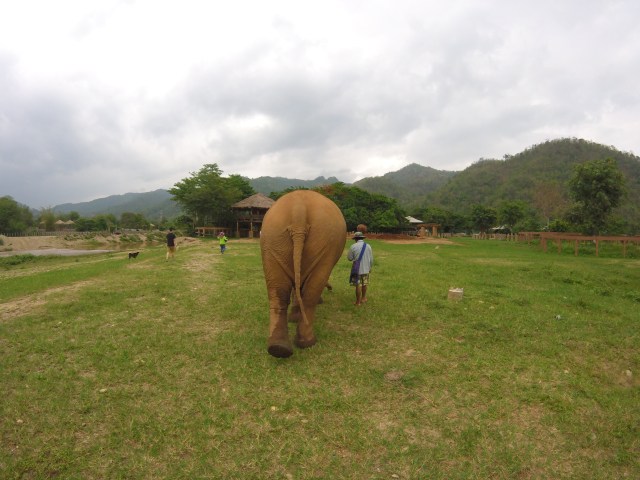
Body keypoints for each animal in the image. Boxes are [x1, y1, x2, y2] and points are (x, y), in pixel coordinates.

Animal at [260, 190, 347, 358]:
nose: (331, 288)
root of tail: (298, 210)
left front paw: (293, 318)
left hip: (272, 238)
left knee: (278, 291)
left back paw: (278, 349)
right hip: (323, 241)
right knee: (312, 290)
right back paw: (307, 343)